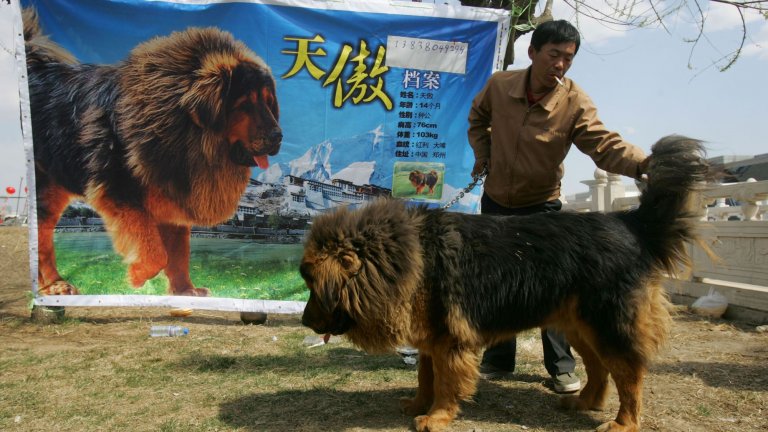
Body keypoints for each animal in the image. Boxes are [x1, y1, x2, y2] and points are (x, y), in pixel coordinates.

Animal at [23, 8, 282, 296]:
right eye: (245, 104)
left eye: (268, 102)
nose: (278, 136)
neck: (181, 131)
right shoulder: (118, 190)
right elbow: (155, 251)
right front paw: (137, 276)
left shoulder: (173, 196)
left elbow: (179, 255)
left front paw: (184, 292)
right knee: (42, 236)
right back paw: (55, 286)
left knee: (43, 237)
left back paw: (55, 284)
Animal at [304, 136, 712, 432]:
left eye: (314, 285)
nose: (306, 321)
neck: (402, 257)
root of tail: (628, 222)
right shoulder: (432, 336)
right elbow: (425, 376)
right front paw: (418, 404)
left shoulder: (450, 340)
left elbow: (445, 382)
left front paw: (436, 417)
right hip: (579, 325)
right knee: (600, 368)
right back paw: (583, 402)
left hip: (608, 323)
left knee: (629, 373)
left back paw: (623, 423)